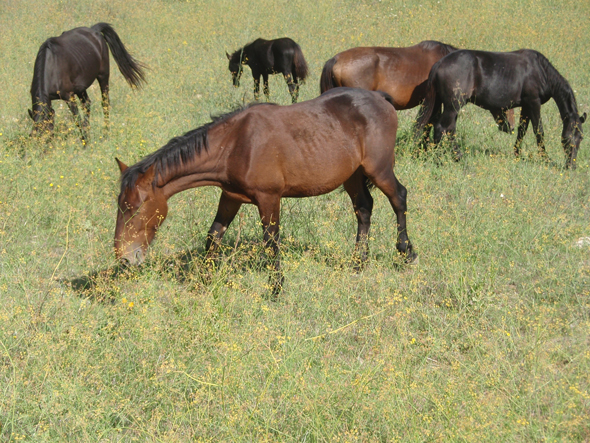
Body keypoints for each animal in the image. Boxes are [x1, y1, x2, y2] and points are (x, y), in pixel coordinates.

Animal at [113, 88, 414, 296]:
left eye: (135, 208)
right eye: (120, 205)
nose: (124, 258)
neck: (236, 144)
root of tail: (381, 98)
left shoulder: (269, 198)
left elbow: (270, 244)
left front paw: (276, 289)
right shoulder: (230, 197)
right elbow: (213, 236)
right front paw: (205, 281)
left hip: (379, 168)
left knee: (399, 197)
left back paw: (405, 252)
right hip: (351, 175)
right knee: (363, 208)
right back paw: (358, 263)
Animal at [416, 47, 588, 167]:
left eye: (581, 137)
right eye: (567, 138)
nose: (571, 166)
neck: (541, 71)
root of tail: (439, 64)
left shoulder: (526, 105)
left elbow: (522, 130)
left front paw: (518, 154)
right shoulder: (533, 102)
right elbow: (538, 131)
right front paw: (545, 159)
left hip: (445, 105)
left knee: (443, 127)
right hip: (453, 105)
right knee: (441, 127)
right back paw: (442, 159)